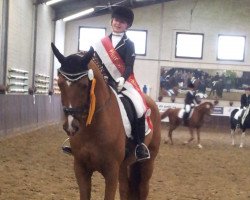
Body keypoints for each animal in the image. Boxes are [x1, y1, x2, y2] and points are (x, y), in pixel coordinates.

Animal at [51, 43, 161, 200]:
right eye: (60, 84)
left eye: (84, 85)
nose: (71, 126)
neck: (92, 129)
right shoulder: (80, 169)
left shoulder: (111, 172)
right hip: (124, 166)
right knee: (125, 189)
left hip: (147, 162)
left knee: (143, 188)